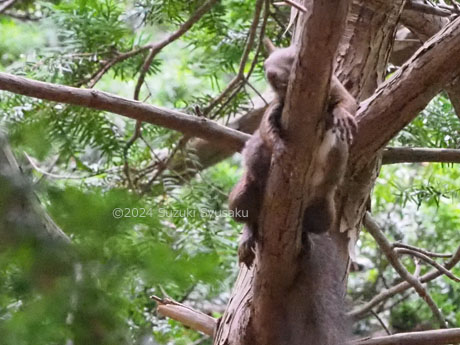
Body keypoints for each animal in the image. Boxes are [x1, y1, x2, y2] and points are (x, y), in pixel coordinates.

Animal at [228, 39, 358, 268]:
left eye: (293, 58)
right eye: (265, 64)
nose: (270, 74)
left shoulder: (336, 87)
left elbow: (348, 102)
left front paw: (341, 114)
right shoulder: (276, 105)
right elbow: (266, 126)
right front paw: (278, 145)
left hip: (322, 212)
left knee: (307, 226)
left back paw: (304, 237)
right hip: (243, 195)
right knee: (248, 217)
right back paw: (249, 236)